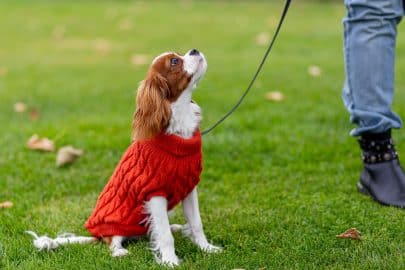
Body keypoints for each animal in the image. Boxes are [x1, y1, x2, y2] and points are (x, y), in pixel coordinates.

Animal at [26, 48, 223, 266]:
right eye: (174, 62)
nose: (194, 50)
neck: (179, 118)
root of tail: (96, 235)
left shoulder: (189, 188)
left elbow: (196, 223)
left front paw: (206, 248)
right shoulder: (154, 193)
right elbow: (164, 235)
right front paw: (170, 261)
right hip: (113, 226)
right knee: (113, 241)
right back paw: (119, 251)